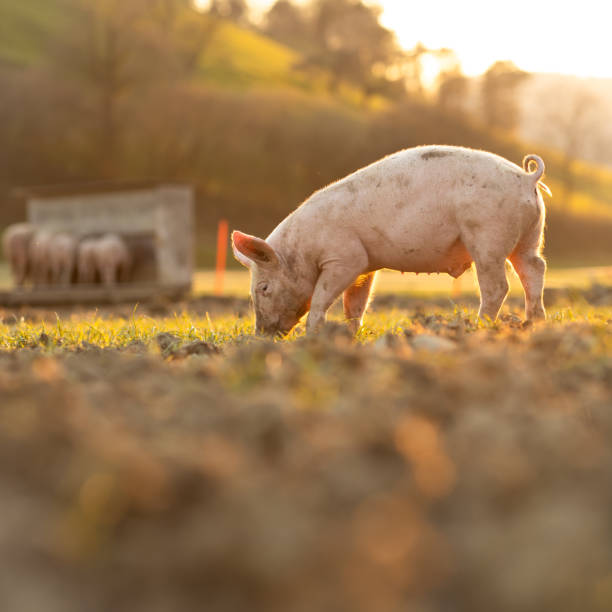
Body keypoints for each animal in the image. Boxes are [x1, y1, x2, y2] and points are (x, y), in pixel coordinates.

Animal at [232, 146, 548, 338]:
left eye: (263, 288)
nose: (262, 335)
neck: (302, 251)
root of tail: (526, 178)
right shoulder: (366, 267)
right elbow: (355, 304)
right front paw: (350, 335)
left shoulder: (345, 258)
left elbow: (322, 297)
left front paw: (313, 335)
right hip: (530, 236)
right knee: (535, 269)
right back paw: (533, 324)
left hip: (487, 237)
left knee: (498, 286)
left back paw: (478, 326)